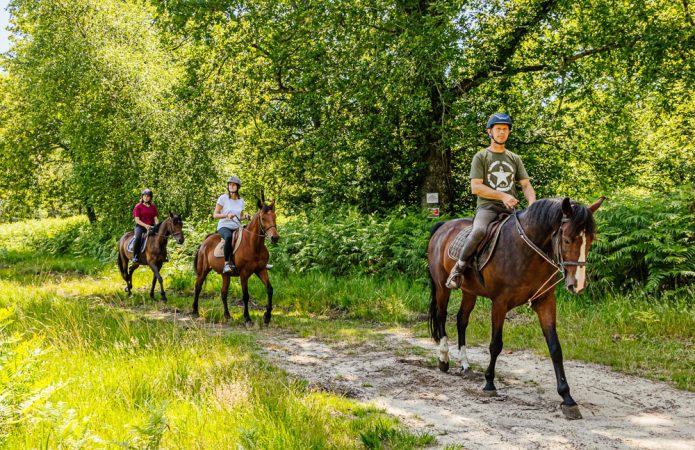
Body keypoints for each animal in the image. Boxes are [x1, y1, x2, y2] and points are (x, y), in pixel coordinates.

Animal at [426, 196, 600, 418]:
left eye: (590, 241)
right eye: (567, 239)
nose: (577, 285)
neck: (527, 252)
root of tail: (443, 226)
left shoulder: (545, 302)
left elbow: (555, 348)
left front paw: (567, 398)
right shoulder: (500, 303)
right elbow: (495, 345)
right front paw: (489, 383)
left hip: (469, 292)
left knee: (461, 321)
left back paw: (465, 364)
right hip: (442, 287)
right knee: (441, 316)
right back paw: (443, 359)